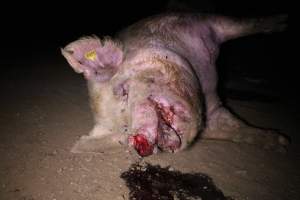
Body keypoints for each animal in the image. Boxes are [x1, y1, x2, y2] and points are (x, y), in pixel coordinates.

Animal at [61, 12, 288, 156]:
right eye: (124, 129)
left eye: (123, 91)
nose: (137, 139)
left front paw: (284, 22)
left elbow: (243, 25)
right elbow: (237, 132)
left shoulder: (201, 21)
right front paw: (282, 143)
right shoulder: (213, 116)